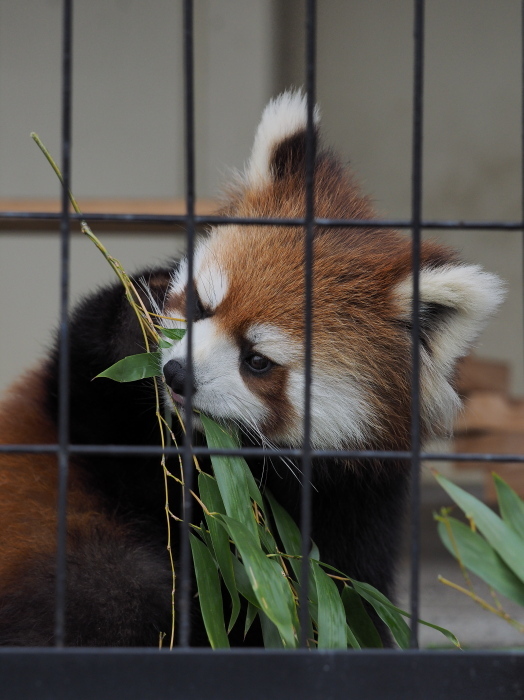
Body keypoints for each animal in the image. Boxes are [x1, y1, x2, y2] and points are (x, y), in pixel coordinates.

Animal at [0, 91, 504, 644]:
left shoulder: (356, 504)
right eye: (200, 306)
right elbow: (80, 387)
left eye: (257, 361)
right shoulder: (88, 419)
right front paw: (136, 321)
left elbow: (327, 606)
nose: (177, 376)